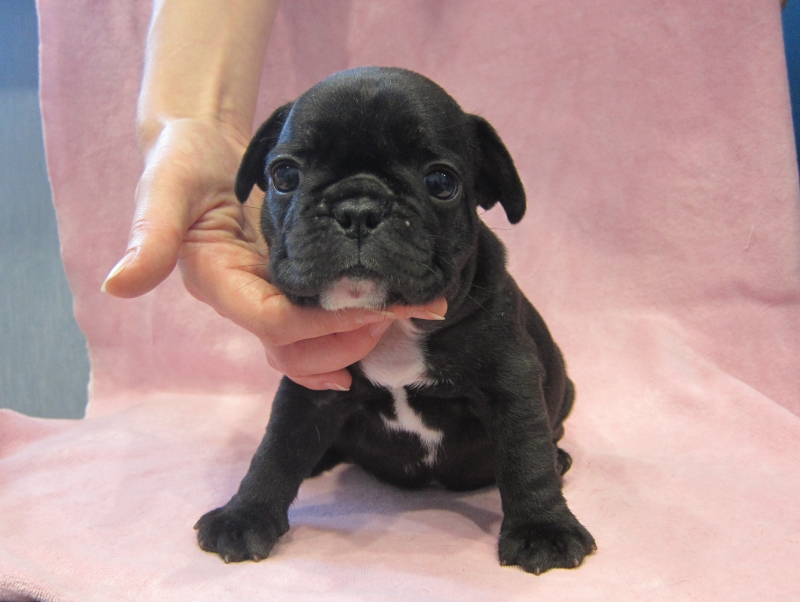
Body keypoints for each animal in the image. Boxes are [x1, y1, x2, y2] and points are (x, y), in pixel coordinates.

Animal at [194, 66, 596, 574]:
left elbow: (527, 454)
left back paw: (560, 457)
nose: (358, 209)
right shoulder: (312, 386)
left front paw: (544, 529)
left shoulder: (512, 380)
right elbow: (277, 448)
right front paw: (244, 515)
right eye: (284, 175)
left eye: (441, 182)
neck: (392, 324)